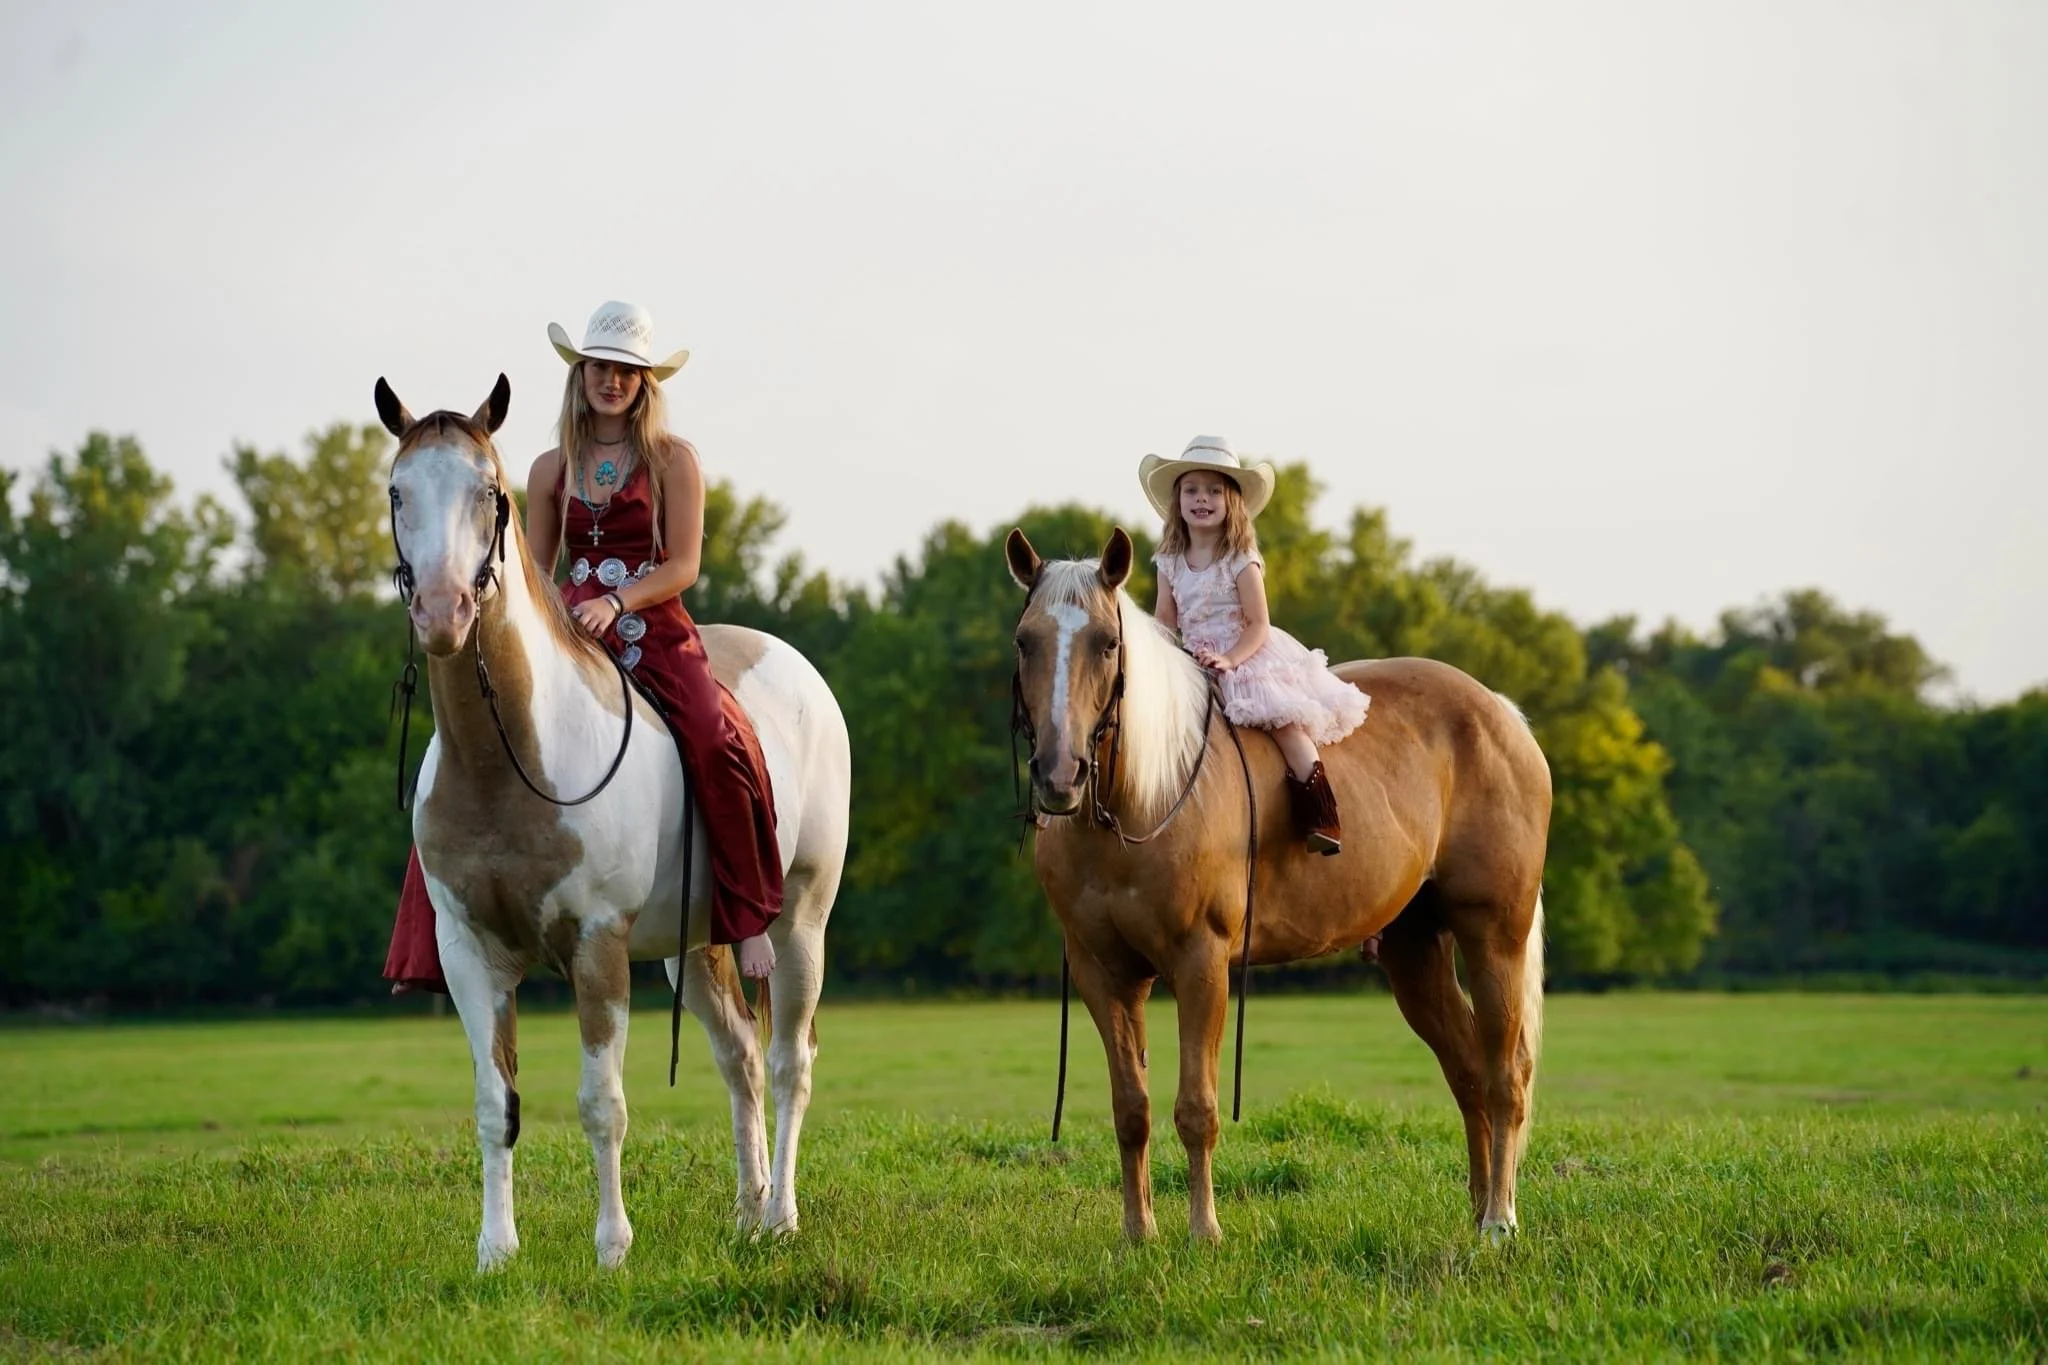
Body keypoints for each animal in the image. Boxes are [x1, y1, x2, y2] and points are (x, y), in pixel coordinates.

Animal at [377, 375, 849, 1271]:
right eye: (397, 490)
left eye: (489, 492)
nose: (443, 612)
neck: (509, 759)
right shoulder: (468, 955)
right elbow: (494, 1104)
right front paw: (496, 1251)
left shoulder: (597, 946)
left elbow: (603, 1102)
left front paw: (611, 1247)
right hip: (692, 949)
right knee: (738, 1054)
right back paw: (748, 1209)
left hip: (800, 921)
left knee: (788, 1063)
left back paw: (781, 1215)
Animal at [1005, 527, 1551, 1243]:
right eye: (1025, 641)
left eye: (1105, 642)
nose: (1059, 775)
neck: (1142, 799)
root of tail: (1502, 714)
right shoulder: (1104, 974)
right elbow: (1131, 1109)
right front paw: (1138, 1233)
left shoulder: (1201, 964)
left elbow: (1197, 1108)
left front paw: (1204, 1233)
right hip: (1415, 951)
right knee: (1466, 1070)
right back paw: (1480, 1206)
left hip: (1494, 935)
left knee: (1505, 1075)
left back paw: (1499, 1220)